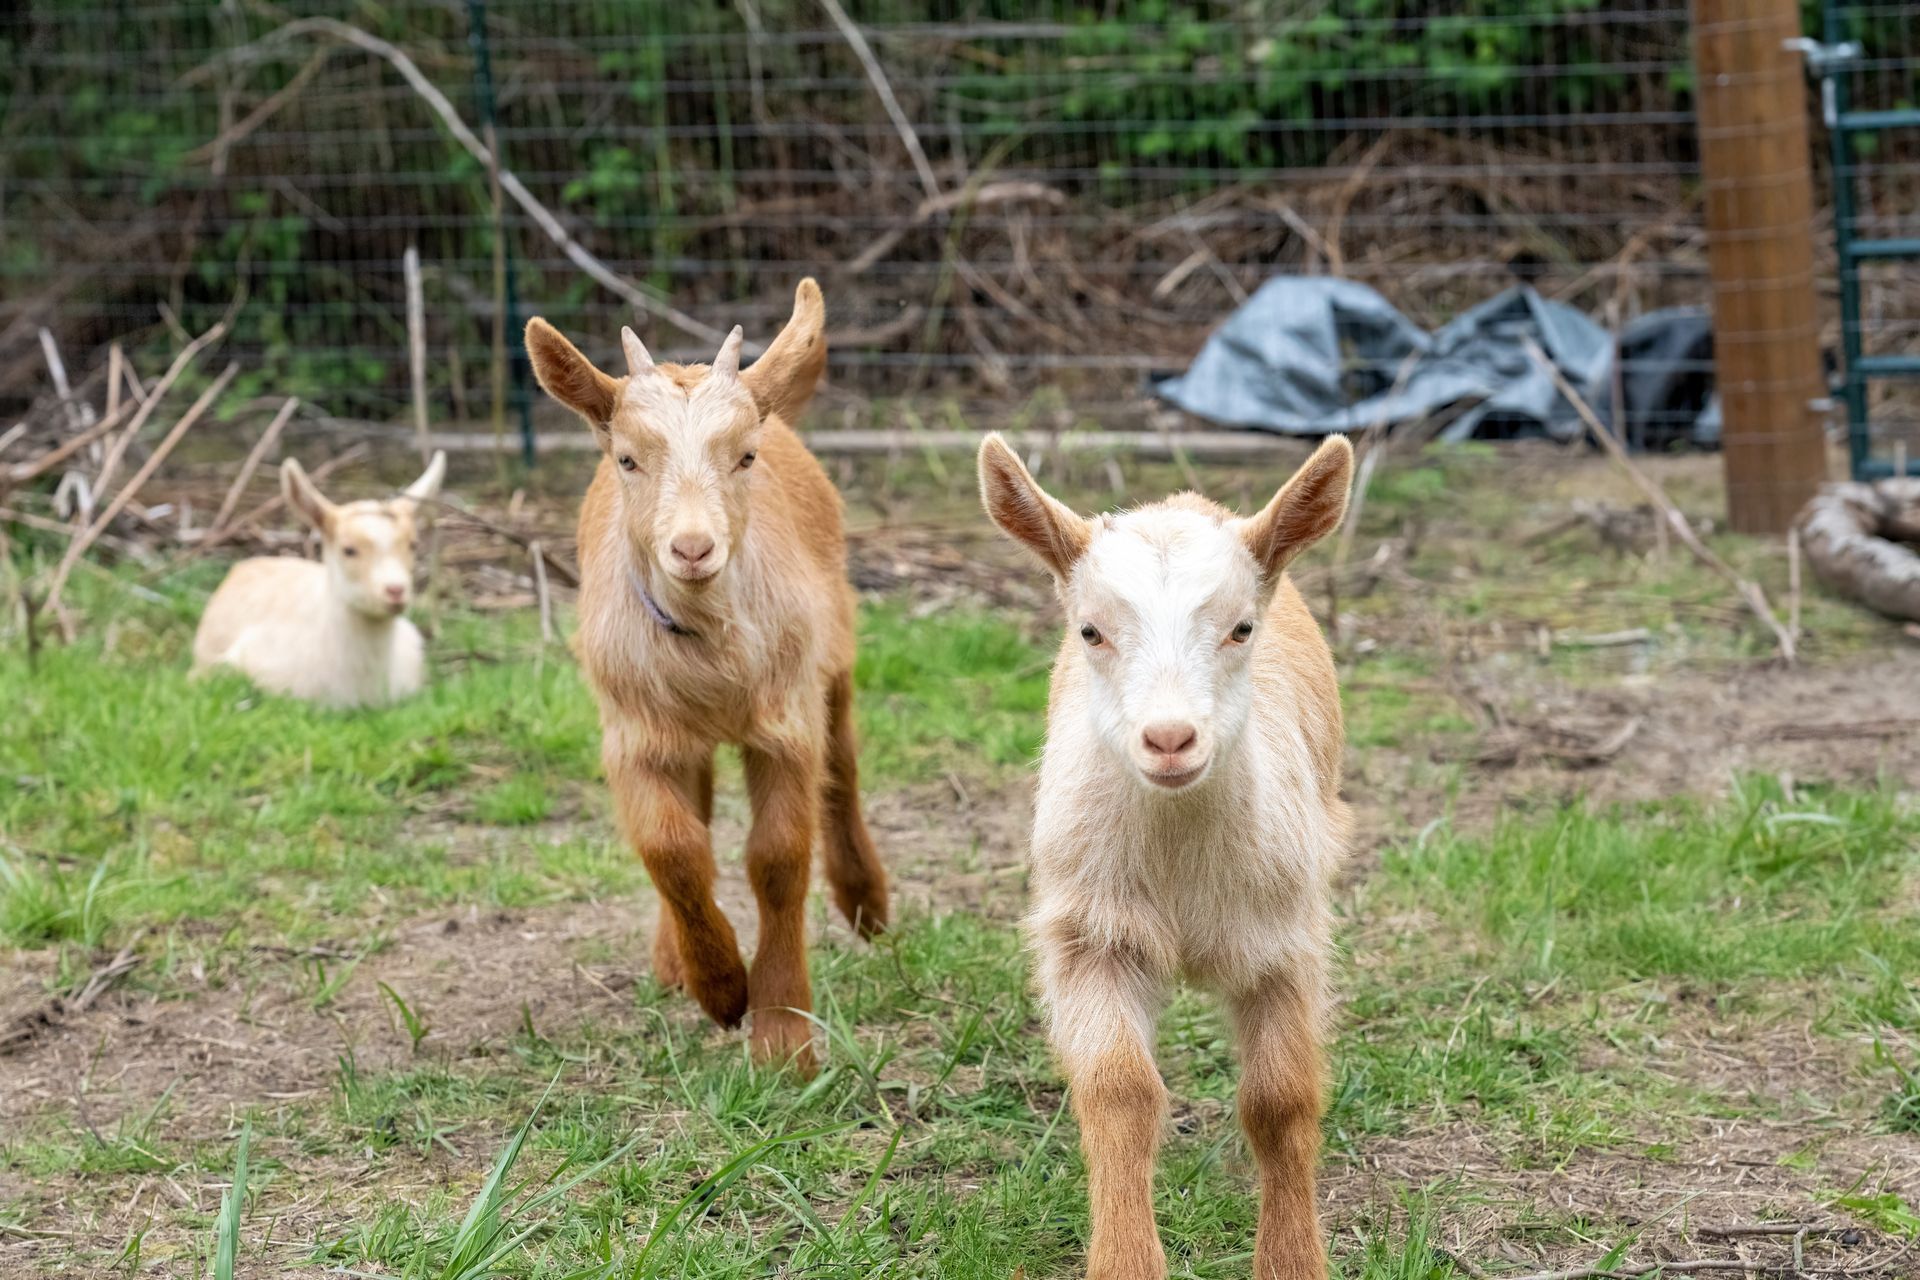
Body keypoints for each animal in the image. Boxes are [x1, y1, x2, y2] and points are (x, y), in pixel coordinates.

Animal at [524, 280, 888, 1075]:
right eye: (628, 459)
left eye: (745, 456)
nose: (693, 548)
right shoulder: (633, 730)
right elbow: (672, 847)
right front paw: (720, 987)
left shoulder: (785, 720)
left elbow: (778, 857)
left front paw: (782, 1035)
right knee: (694, 810)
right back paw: (675, 961)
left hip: (837, 648)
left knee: (844, 765)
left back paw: (867, 903)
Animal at [977, 434, 1354, 1280]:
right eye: (1091, 631)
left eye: (1241, 628)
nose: (1170, 738)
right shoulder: (1091, 933)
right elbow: (1119, 1094)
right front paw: (1126, 1259)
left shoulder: (1286, 939)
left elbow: (1279, 1102)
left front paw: (1292, 1259)